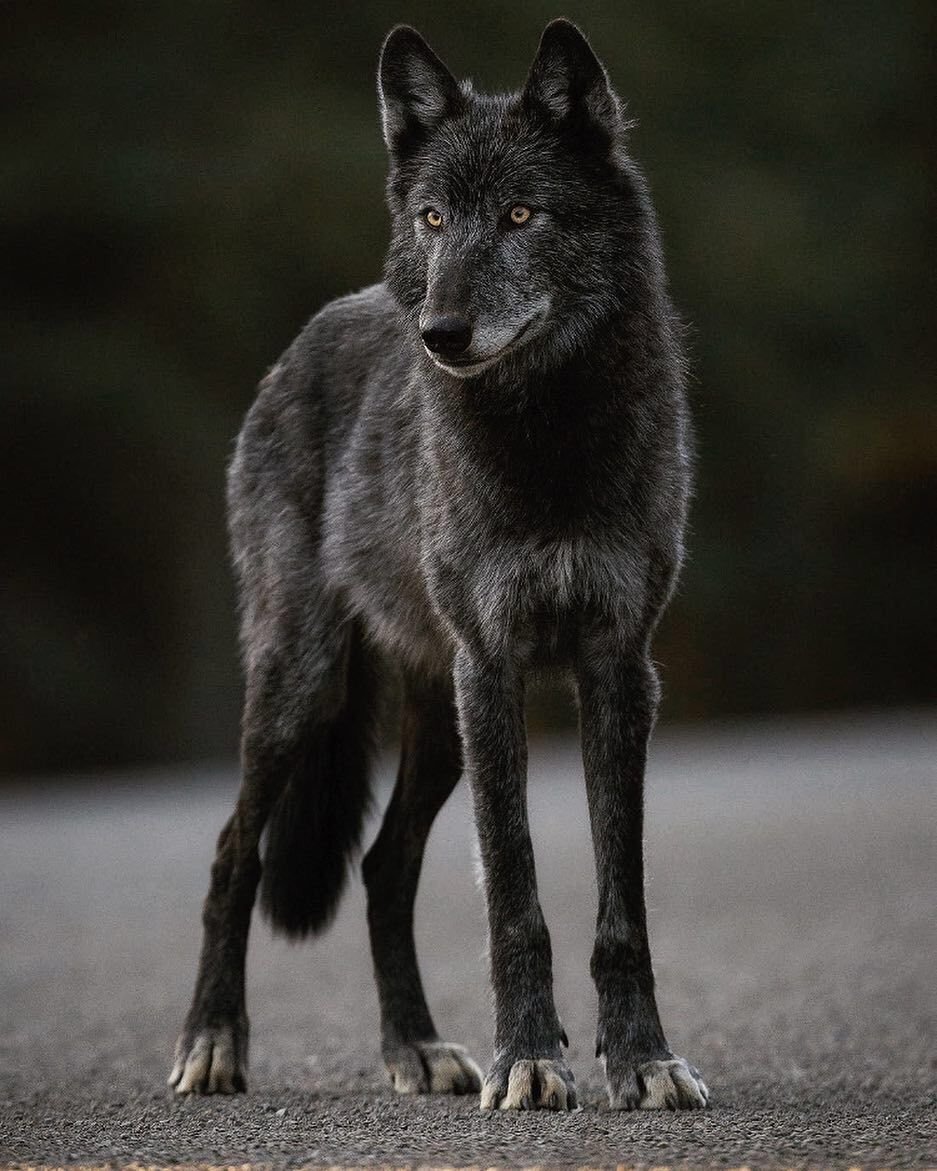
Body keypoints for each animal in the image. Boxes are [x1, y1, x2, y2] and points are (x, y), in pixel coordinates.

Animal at [168, 19, 708, 1112]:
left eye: (519, 213)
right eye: (431, 217)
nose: (440, 335)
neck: (547, 440)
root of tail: (312, 330)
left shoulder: (617, 666)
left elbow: (618, 902)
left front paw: (639, 1058)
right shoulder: (494, 664)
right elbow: (514, 894)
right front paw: (531, 1059)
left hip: (435, 715)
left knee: (383, 867)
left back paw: (414, 1046)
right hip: (305, 686)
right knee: (234, 851)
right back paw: (213, 1041)